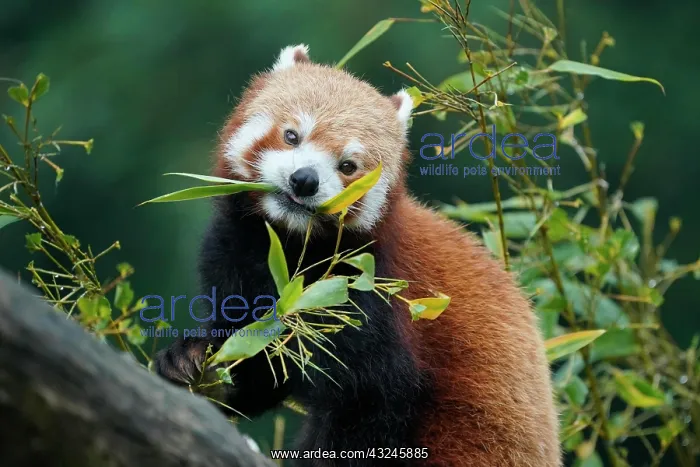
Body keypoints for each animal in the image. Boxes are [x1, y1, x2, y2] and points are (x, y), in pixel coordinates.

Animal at [154, 44, 561, 467]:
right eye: (292, 135)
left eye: (347, 165)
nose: (305, 179)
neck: (294, 249)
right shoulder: (236, 256)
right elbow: (258, 357)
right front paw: (189, 361)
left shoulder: (369, 294)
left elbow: (373, 401)